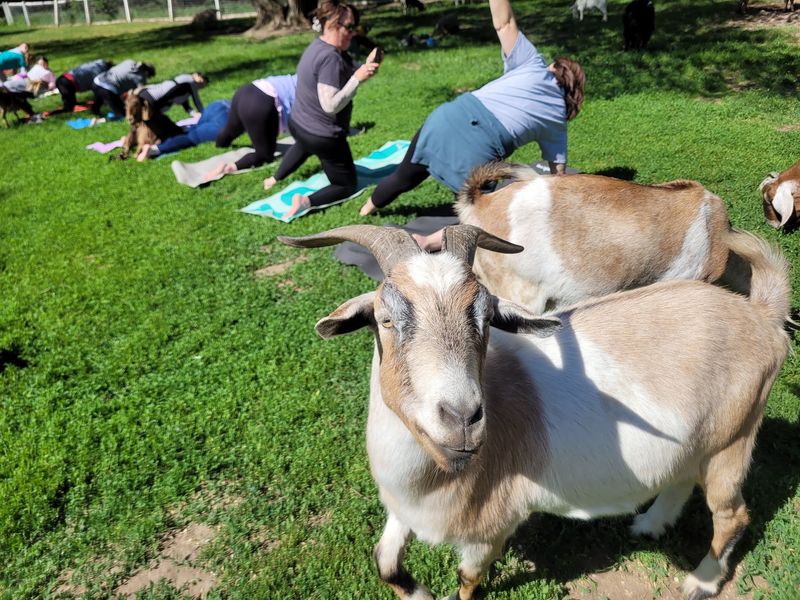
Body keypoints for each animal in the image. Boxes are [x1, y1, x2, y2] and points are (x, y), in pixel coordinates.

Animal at [279, 223, 790, 600]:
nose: (462, 419)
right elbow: (384, 562)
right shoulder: (405, 509)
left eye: (486, 318)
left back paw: (700, 582)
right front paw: (418, 592)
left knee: (733, 515)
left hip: (734, 437)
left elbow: (468, 581)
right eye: (385, 319)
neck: (427, 479)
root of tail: (761, 315)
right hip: (695, 442)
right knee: (682, 478)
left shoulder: (491, 528)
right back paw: (648, 524)